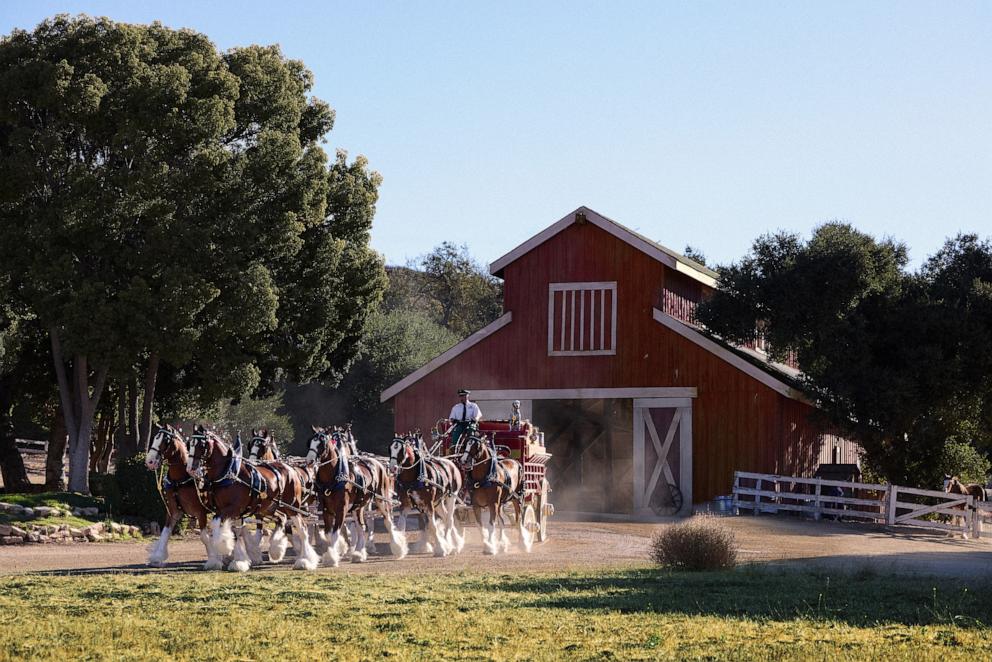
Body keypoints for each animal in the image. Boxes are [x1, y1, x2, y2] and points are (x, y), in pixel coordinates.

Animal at [143, 428, 217, 568]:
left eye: (164, 441)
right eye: (154, 438)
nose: (149, 461)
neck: (181, 478)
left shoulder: (201, 512)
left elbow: (204, 537)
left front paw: (213, 560)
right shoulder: (173, 510)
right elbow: (165, 533)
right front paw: (157, 557)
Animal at [188, 428, 320, 572]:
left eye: (202, 445)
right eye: (189, 444)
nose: (190, 468)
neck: (229, 473)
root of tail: (291, 469)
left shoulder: (232, 509)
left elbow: (218, 525)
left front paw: (224, 547)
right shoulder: (226, 510)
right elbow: (236, 533)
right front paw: (238, 561)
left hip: (292, 506)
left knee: (302, 529)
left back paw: (304, 560)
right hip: (269, 508)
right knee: (282, 518)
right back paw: (277, 550)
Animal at [306, 428, 406, 568]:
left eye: (322, 444)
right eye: (310, 442)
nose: (309, 461)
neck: (334, 477)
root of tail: (378, 463)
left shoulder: (341, 510)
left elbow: (335, 533)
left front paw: (331, 558)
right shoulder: (326, 510)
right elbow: (329, 534)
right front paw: (335, 551)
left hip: (381, 500)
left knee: (388, 522)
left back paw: (398, 550)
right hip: (357, 507)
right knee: (361, 527)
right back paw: (358, 554)